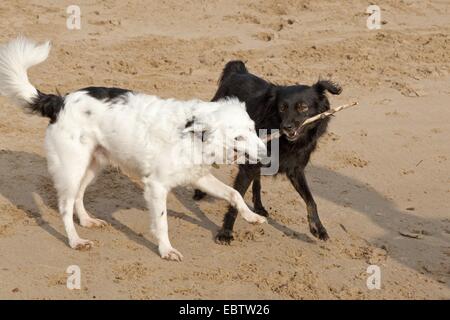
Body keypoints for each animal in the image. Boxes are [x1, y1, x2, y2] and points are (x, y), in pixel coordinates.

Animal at [0, 37, 268, 262]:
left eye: (253, 128)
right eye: (238, 137)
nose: (266, 155)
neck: (191, 133)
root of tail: (59, 102)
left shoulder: (198, 176)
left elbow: (234, 194)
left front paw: (252, 217)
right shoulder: (157, 186)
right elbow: (162, 222)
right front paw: (166, 250)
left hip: (92, 166)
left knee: (78, 197)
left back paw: (87, 221)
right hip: (72, 168)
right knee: (65, 207)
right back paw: (76, 240)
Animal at [193, 60, 342, 242]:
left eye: (303, 107)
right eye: (282, 108)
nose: (286, 127)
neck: (286, 143)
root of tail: (238, 72)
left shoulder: (296, 169)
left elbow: (311, 200)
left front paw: (318, 228)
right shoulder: (248, 168)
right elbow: (236, 197)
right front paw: (226, 232)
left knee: (257, 181)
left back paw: (259, 206)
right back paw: (200, 190)